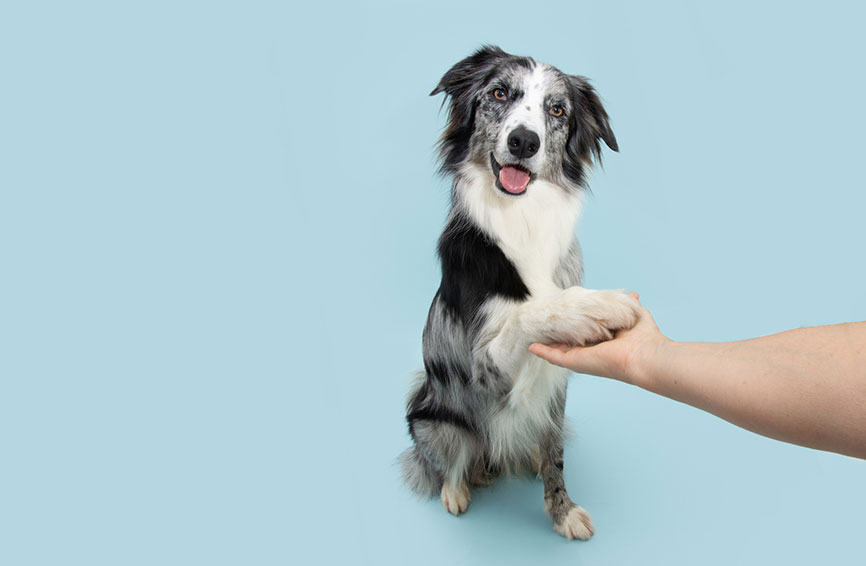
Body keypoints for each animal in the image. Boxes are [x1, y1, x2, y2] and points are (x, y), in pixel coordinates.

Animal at [402, 46, 636, 544]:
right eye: (498, 93)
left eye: (557, 110)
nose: (524, 142)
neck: (522, 214)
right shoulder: (482, 366)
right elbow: (533, 312)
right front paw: (599, 305)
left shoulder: (556, 388)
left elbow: (556, 456)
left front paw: (562, 511)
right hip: (435, 420)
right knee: (450, 460)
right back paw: (456, 490)